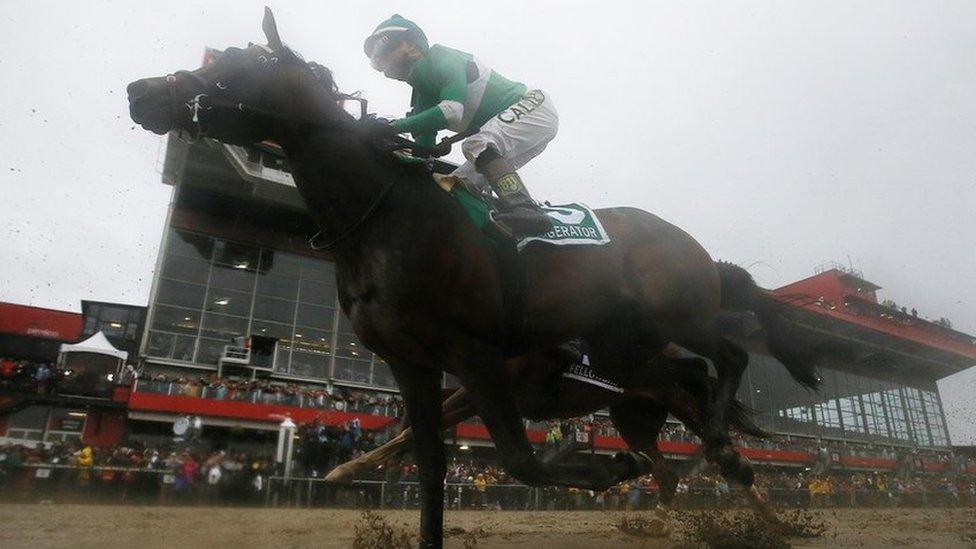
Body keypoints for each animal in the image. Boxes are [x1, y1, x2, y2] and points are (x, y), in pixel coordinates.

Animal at [126, 8, 820, 544]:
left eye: (231, 66)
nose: (139, 91)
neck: (383, 216)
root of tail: (691, 243)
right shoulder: (413, 364)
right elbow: (429, 462)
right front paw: (353, 475)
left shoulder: (477, 356)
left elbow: (520, 460)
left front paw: (605, 469)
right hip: (627, 364)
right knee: (691, 390)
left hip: (678, 314)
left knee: (728, 360)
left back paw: (741, 477)